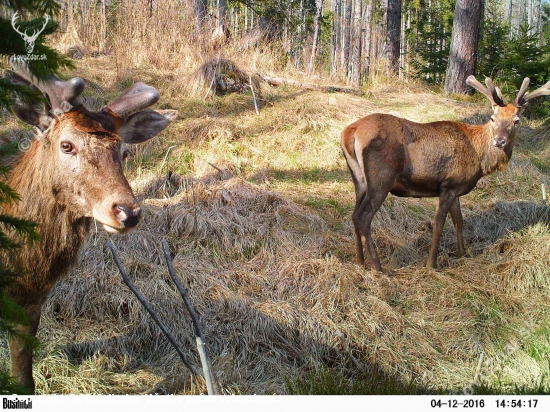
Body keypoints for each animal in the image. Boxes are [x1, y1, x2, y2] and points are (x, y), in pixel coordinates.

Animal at [342, 75, 550, 274]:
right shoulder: (448, 184)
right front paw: (431, 264)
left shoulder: (456, 187)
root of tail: (349, 132)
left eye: (516, 121)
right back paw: (378, 267)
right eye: (493, 118)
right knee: (363, 217)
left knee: (353, 215)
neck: (479, 157)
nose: (499, 141)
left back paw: (360, 262)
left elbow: (459, 221)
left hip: (359, 180)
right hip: (382, 177)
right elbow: (439, 223)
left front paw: (463, 254)